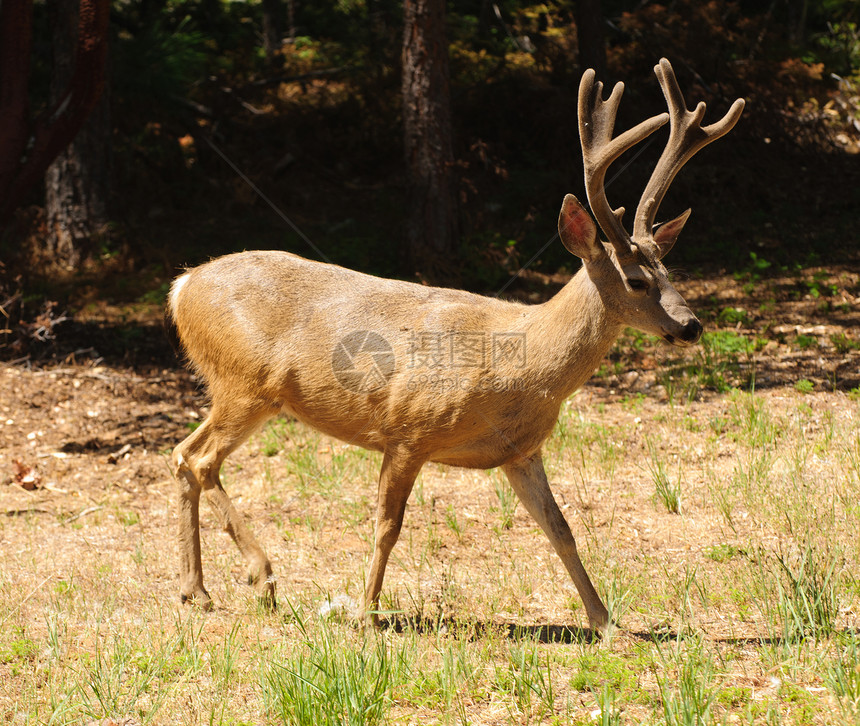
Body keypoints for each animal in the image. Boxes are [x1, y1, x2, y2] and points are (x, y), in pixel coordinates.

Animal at [170, 59, 744, 636]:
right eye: (635, 280)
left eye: (670, 272)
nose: (691, 326)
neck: (522, 370)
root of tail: (182, 285)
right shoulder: (406, 429)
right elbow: (387, 526)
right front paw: (366, 613)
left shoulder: (521, 452)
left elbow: (560, 527)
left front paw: (604, 621)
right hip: (246, 383)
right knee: (199, 459)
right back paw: (261, 575)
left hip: (233, 388)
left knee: (182, 454)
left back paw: (196, 590)